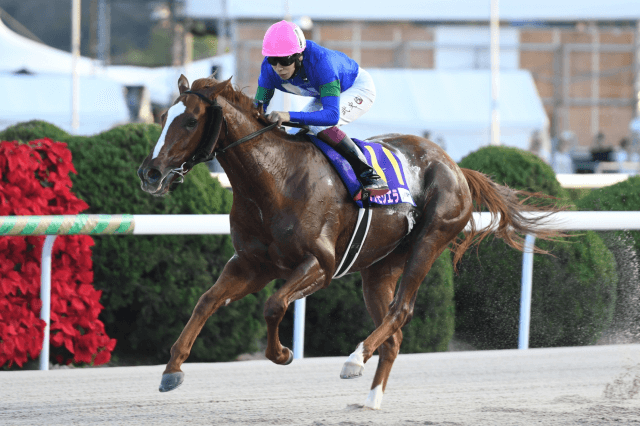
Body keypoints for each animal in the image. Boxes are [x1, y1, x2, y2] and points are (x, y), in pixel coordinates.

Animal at [137, 75, 563, 410]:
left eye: (191, 120)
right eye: (162, 117)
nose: (150, 173)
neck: (275, 179)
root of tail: (455, 166)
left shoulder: (320, 265)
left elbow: (274, 305)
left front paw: (282, 353)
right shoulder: (252, 265)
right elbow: (207, 301)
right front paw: (172, 369)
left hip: (429, 241)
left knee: (401, 310)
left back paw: (354, 359)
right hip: (379, 267)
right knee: (394, 333)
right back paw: (371, 400)